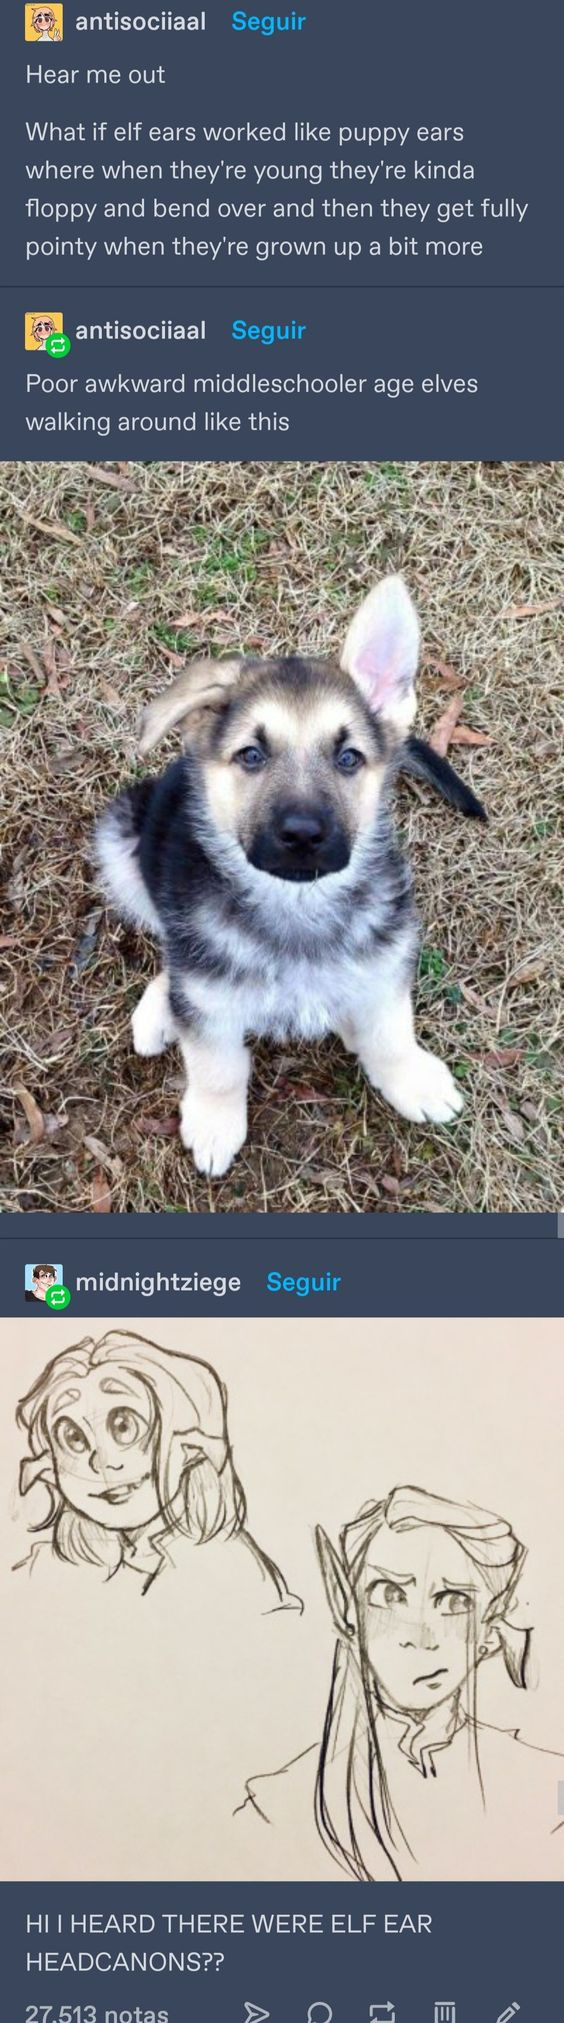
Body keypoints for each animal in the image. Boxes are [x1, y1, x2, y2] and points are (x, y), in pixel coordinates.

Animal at [95, 575, 486, 1177]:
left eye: (349, 758)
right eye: (251, 755)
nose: (302, 834)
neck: (297, 904)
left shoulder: (384, 964)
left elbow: (391, 1032)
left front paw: (410, 1078)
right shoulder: (211, 1009)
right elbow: (216, 1063)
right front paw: (214, 1121)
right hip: (123, 841)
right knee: (173, 953)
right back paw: (161, 1008)